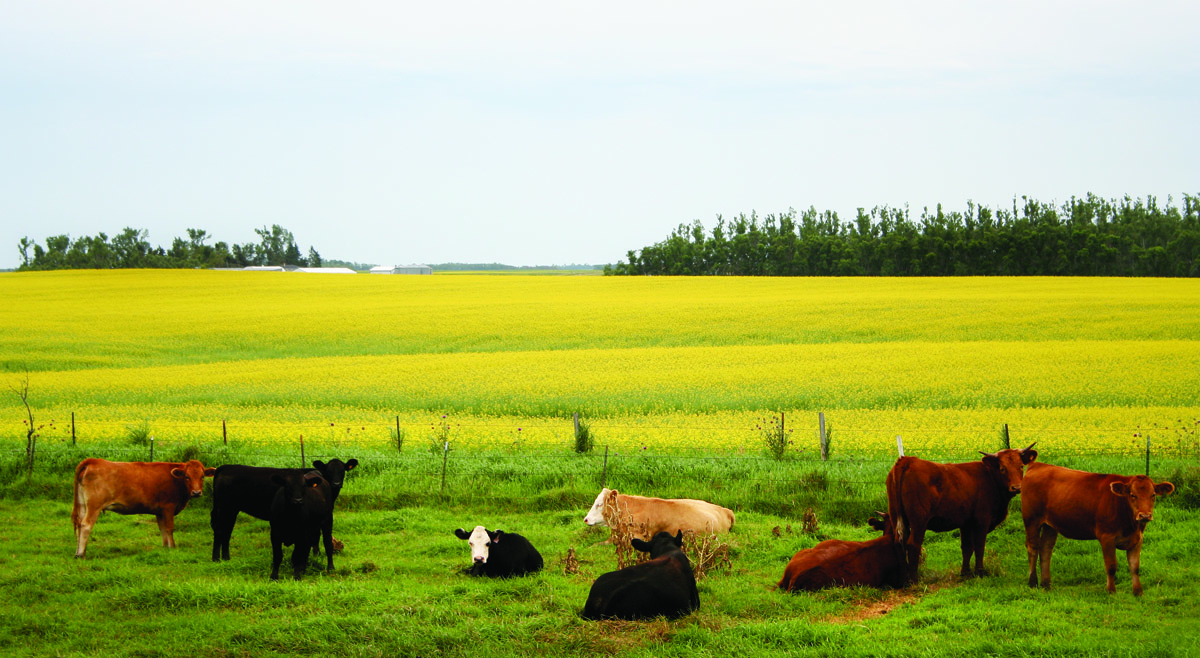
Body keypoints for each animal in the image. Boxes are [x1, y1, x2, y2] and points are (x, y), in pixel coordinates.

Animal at [72, 461, 216, 557]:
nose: (196, 492)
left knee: (79, 525)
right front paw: (173, 547)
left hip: (83, 505)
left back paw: (79, 551)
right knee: (86, 525)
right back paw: (81, 554)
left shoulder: (160, 511)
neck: (175, 481)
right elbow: (169, 528)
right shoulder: (168, 507)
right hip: (94, 506)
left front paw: (165, 547)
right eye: (187, 477)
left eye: (202, 477)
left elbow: (162, 529)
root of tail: (94, 461)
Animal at [210, 458, 355, 559]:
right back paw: (217, 558)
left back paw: (225, 557)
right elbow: (316, 535)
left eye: (342, 471)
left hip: (230, 509)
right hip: (226, 508)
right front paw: (316, 554)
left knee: (226, 530)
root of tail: (226, 467)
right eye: (329, 471)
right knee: (221, 530)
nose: (336, 484)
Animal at [888, 441, 1036, 581]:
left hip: (895, 516)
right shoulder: (982, 520)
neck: (990, 478)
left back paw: (904, 579)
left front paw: (965, 573)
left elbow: (967, 547)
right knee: (913, 544)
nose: (1017, 487)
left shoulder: (966, 523)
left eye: (1021, 466)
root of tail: (908, 460)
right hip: (919, 520)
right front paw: (980, 572)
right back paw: (915, 579)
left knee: (898, 543)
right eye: (1002, 468)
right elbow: (979, 545)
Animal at [1017, 463, 1176, 595]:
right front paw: (1111, 591)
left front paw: (1138, 592)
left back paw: (1046, 584)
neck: (1130, 525)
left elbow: (1135, 567)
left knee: (1045, 549)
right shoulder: (1106, 537)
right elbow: (1111, 566)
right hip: (1031, 520)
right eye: (1132, 495)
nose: (1145, 515)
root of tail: (1039, 465)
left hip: (1050, 525)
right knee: (1033, 548)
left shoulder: (1138, 539)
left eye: (1153, 495)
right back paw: (1033, 582)